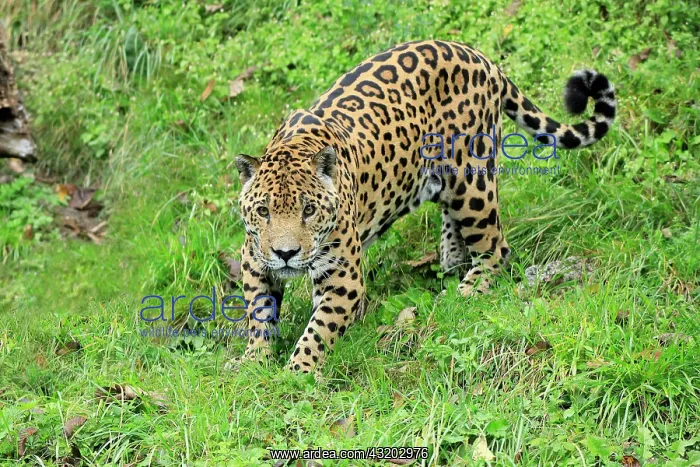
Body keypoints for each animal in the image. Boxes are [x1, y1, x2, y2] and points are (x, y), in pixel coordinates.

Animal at [233, 40, 616, 373]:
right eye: (264, 212)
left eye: (309, 210)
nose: (286, 253)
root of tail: (479, 56)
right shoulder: (253, 258)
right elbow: (259, 313)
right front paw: (254, 361)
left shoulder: (343, 276)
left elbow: (319, 330)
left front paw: (296, 372)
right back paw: (451, 263)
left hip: (472, 181)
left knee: (496, 247)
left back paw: (467, 291)